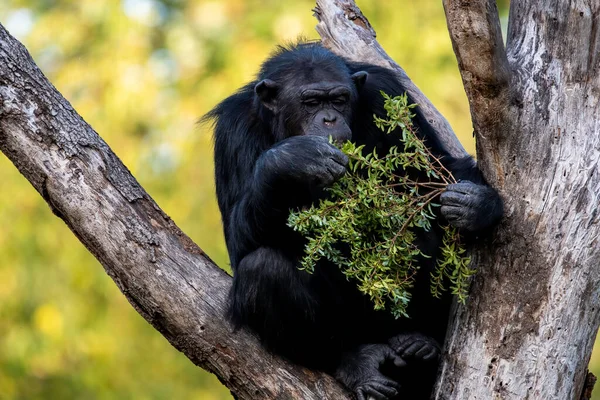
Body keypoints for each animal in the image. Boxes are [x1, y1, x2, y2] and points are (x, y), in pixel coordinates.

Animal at [204, 42, 504, 398]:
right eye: (311, 102)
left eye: (340, 99)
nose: (329, 119)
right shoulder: (233, 131)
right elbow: (238, 239)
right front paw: (291, 160)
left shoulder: (387, 93)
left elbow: (432, 167)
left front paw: (479, 205)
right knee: (262, 269)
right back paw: (355, 362)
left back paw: (421, 343)